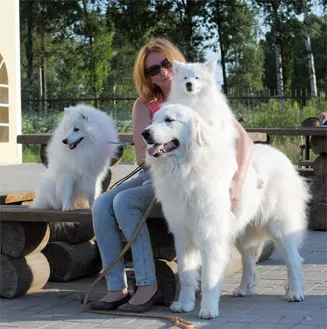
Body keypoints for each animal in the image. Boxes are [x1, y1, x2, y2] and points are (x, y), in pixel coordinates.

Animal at [143, 102, 310, 318]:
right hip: (244, 233)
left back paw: (295, 292)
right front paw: (185, 304)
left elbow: (209, 278)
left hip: (281, 228)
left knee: (293, 260)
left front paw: (208, 309)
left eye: (169, 120)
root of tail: (281, 155)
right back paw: (244, 288)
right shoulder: (183, 236)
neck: (187, 168)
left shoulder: (210, 237)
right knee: (249, 259)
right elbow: (187, 275)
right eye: (153, 119)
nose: (144, 133)